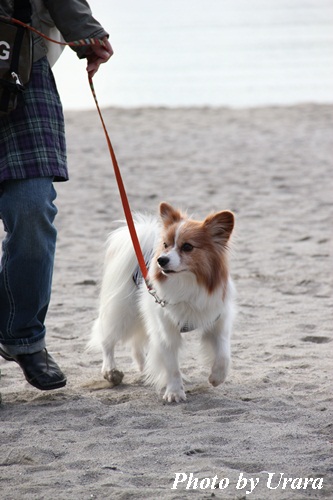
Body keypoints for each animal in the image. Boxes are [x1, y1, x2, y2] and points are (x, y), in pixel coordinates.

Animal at [90, 201, 236, 400]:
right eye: (166, 245)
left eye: (187, 247)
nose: (161, 260)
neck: (187, 284)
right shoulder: (166, 329)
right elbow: (171, 365)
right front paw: (174, 392)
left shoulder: (217, 322)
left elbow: (223, 355)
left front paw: (217, 377)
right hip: (124, 312)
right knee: (107, 338)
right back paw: (110, 370)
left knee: (136, 345)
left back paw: (144, 369)